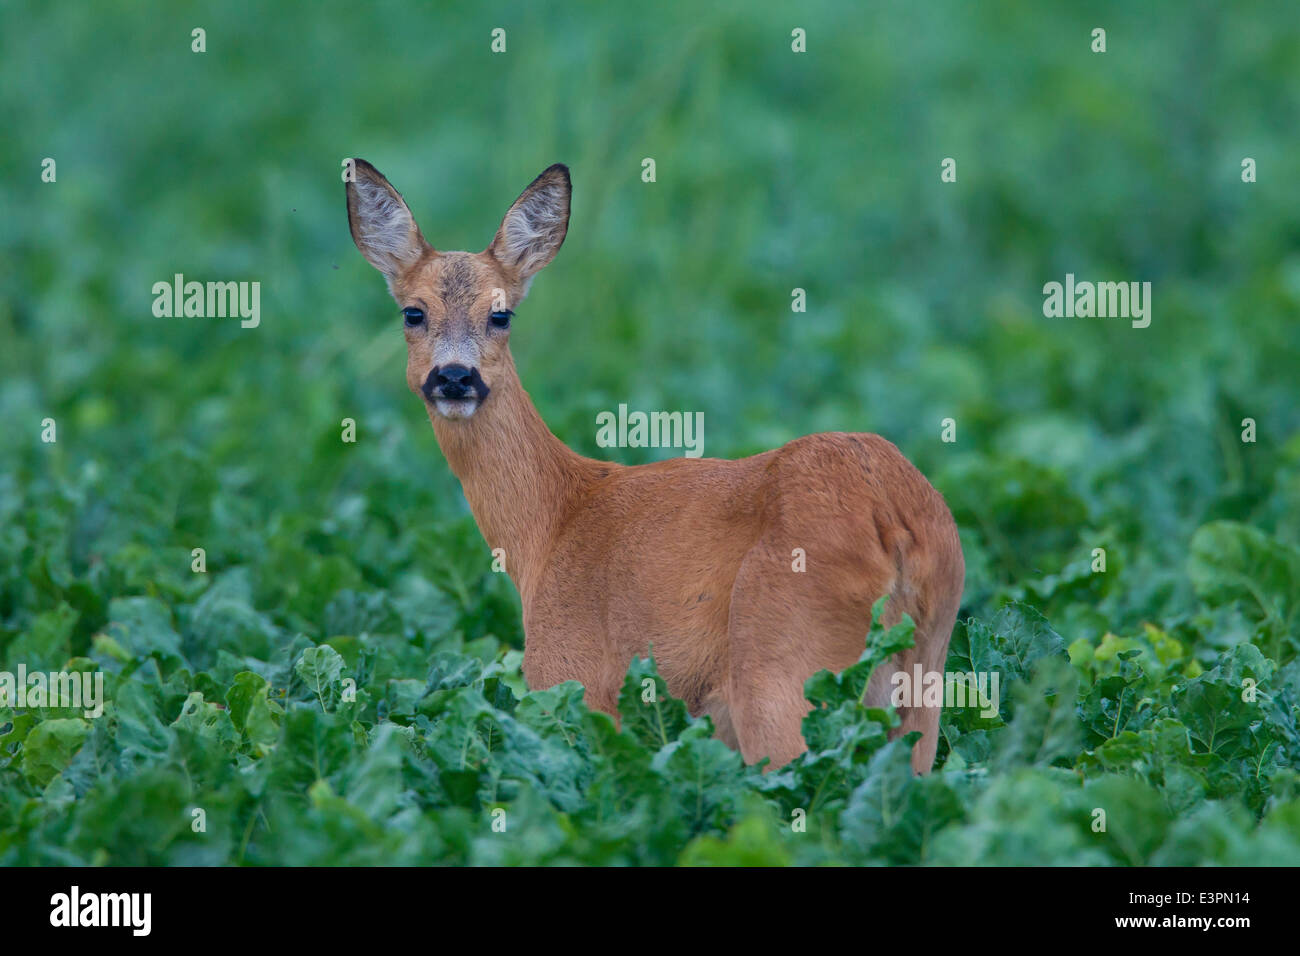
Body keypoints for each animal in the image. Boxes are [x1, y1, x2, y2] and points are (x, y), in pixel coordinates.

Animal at [345, 160, 967, 775]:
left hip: (784, 668)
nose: (455, 377)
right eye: (413, 312)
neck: (551, 525)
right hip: (925, 676)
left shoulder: (575, 677)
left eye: (501, 314)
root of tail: (892, 521)